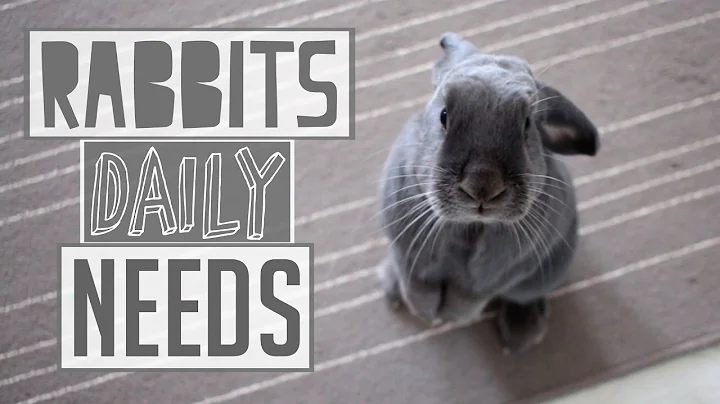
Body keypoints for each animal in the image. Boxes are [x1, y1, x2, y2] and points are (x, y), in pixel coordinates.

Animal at [376, 32, 600, 354]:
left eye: (527, 124)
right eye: (444, 115)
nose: (482, 186)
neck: (468, 225)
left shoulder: (499, 274)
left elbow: (469, 298)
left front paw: (450, 317)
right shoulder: (408, 253)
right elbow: (417, 287)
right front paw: (427, 314)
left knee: (523, 296)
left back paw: (520, 335)